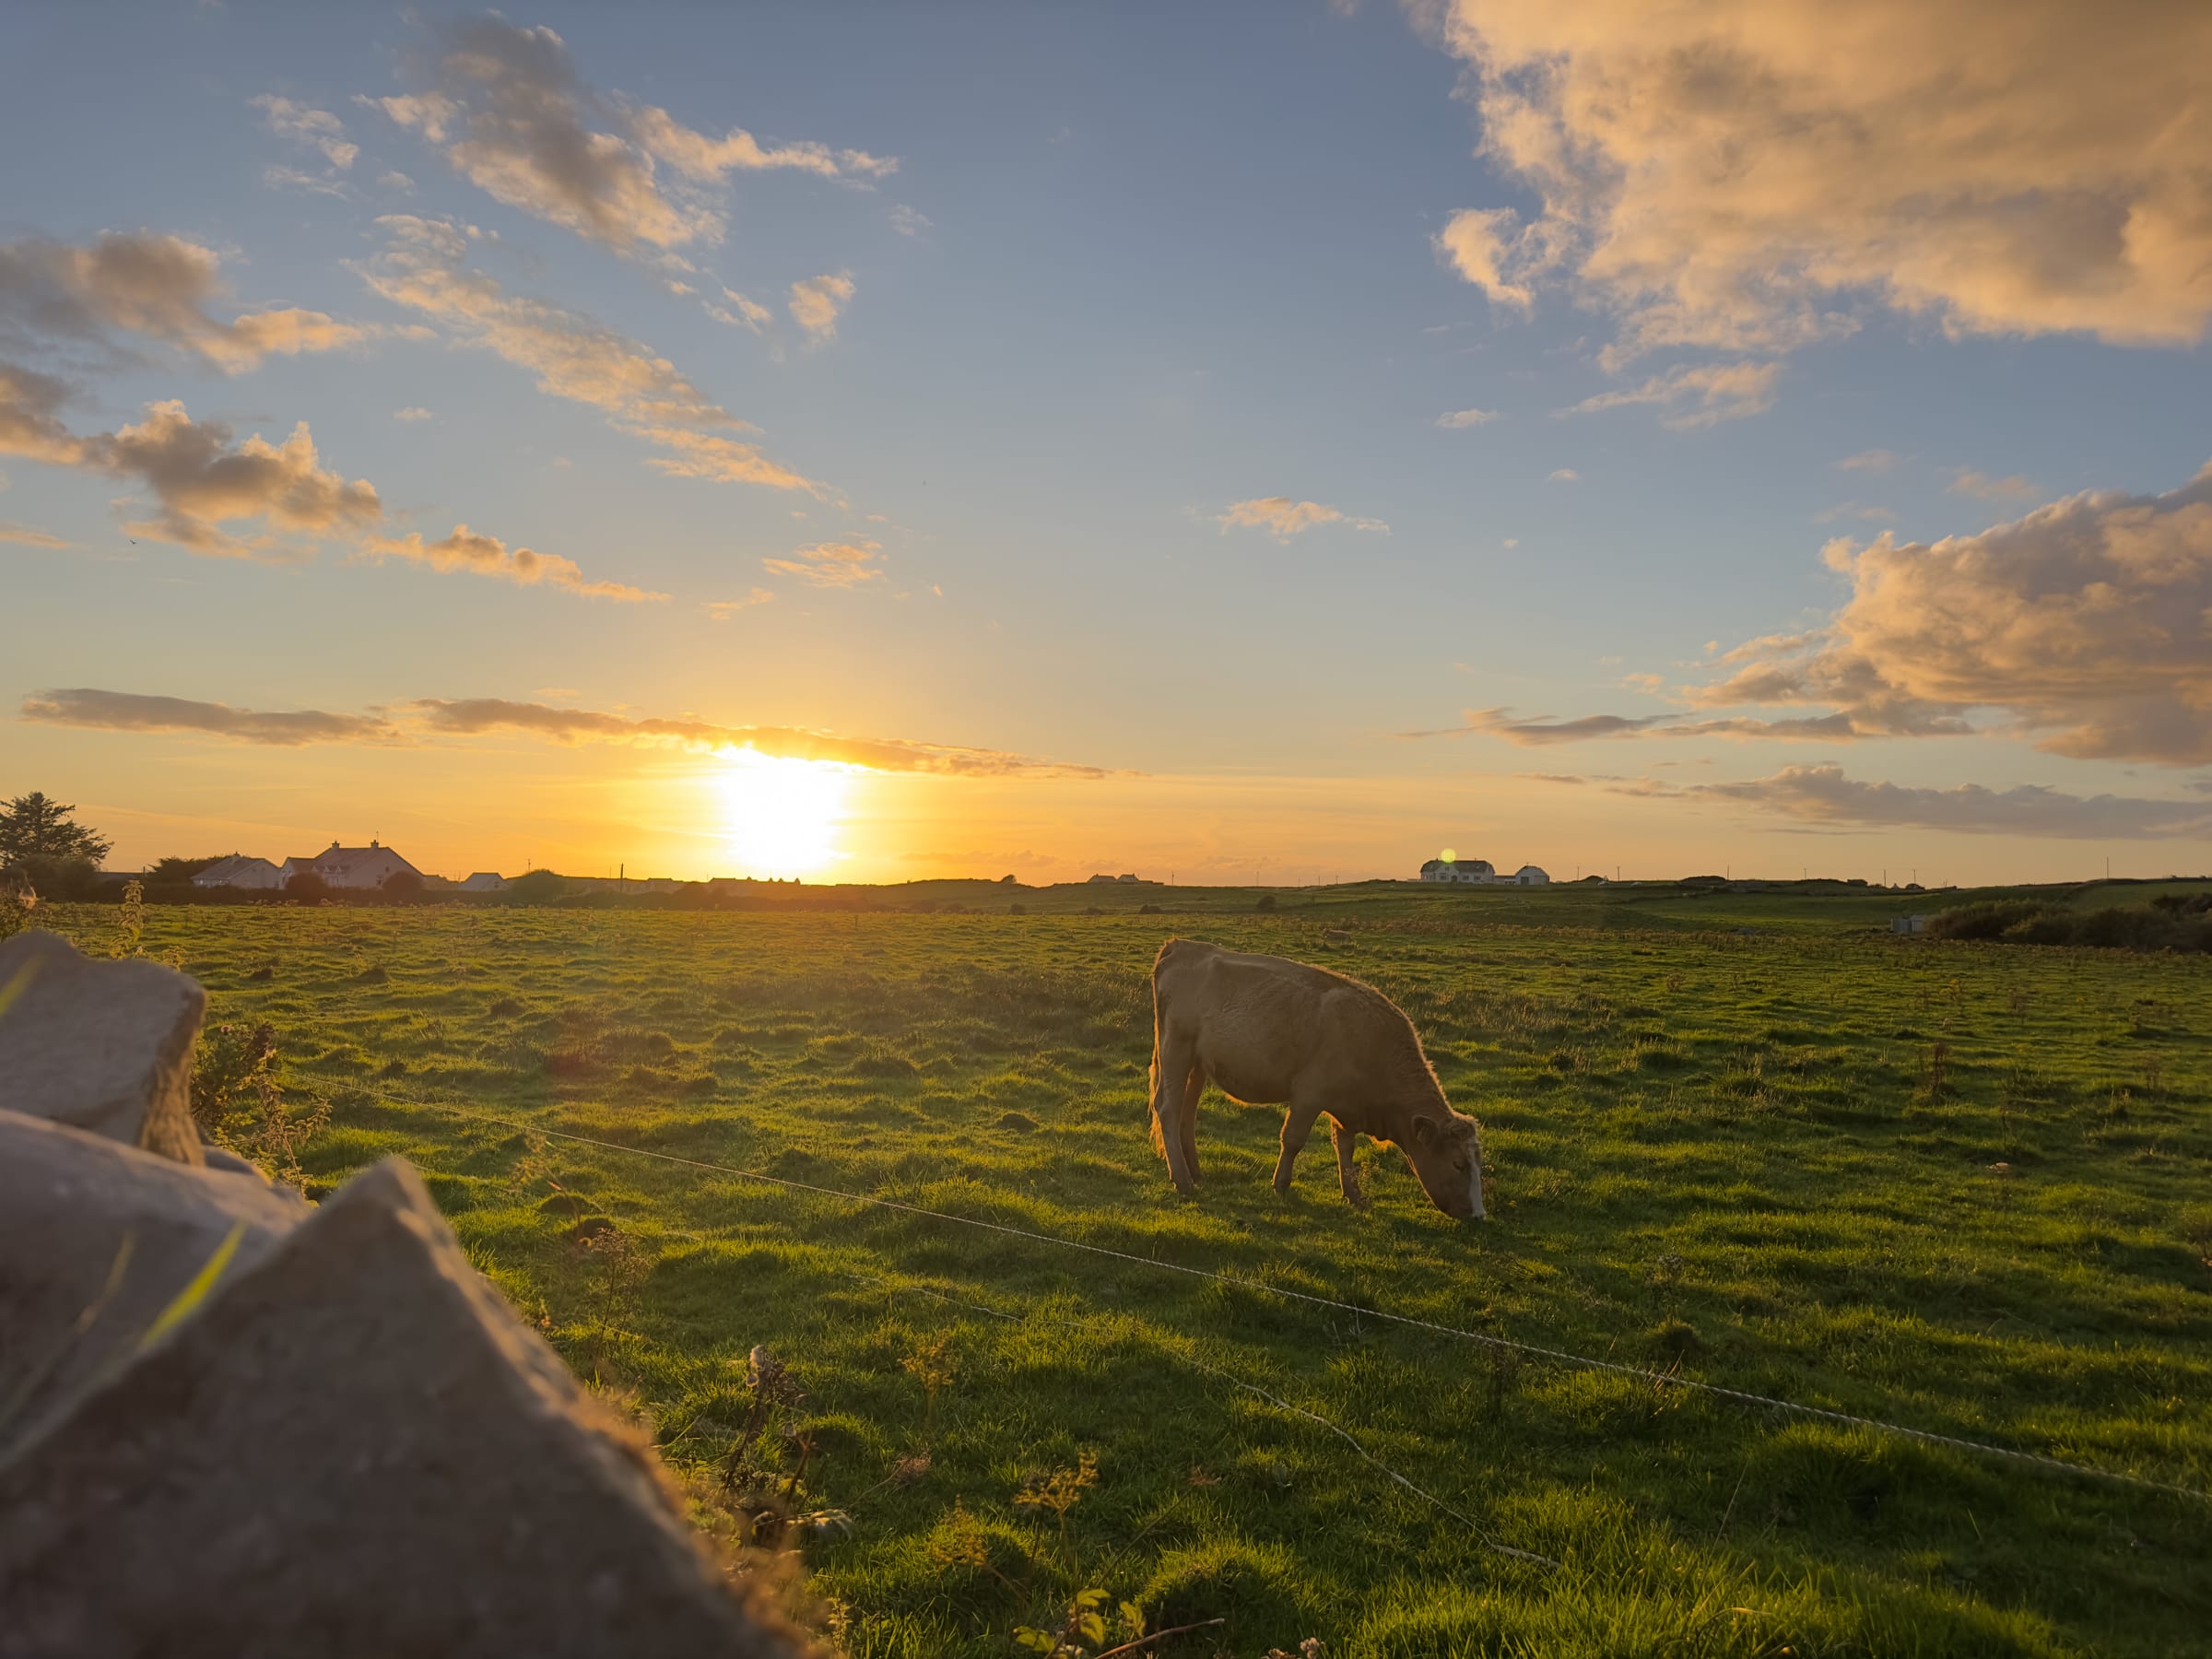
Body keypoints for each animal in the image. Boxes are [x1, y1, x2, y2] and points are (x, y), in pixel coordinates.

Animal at [1146, 938, 1486, 1219]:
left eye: (1478, 1164)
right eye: (1458, 1164)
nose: (1478, 1215)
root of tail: (1182, 945)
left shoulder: (1348, 1109)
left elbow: (1345, 1149)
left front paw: (1354, 1195)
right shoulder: (1309, 1096)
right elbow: (1293, 1139)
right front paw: (1281, 1185)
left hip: (1197, 1063)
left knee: (1187, 1113)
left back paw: (1195, 1172)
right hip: (1176, 1049)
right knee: (1168, 1108)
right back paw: (1183, 1180)